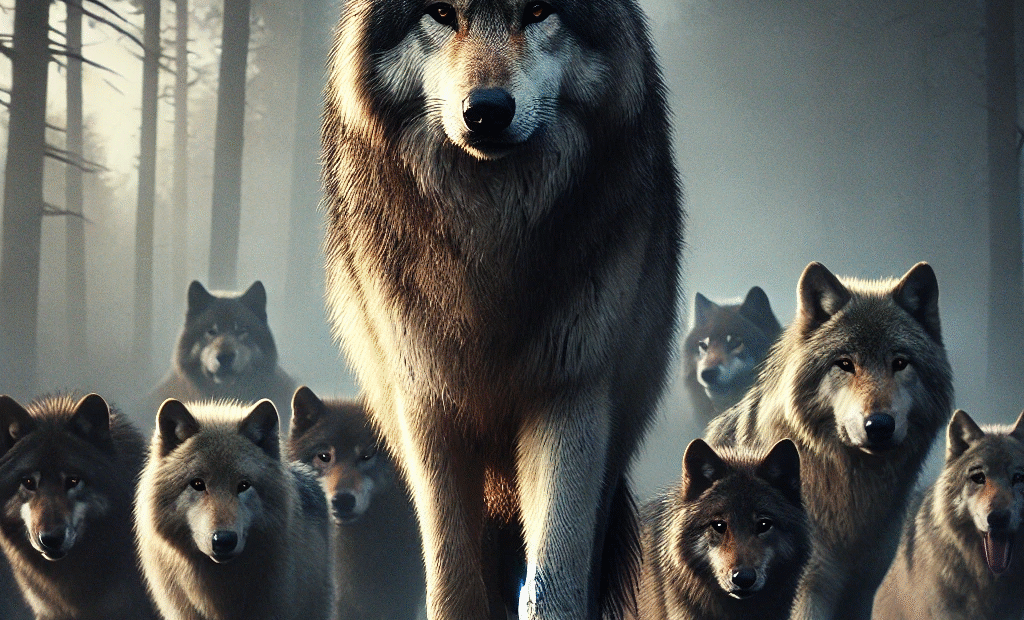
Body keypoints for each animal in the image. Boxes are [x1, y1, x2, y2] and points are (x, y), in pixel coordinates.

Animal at [320, 1, 682, 619]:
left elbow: (555, 576)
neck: (489, 239)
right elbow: (453, 578)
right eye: (442, 13)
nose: (485, 111)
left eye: (537, 12)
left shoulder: (569, 395)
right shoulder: (427, 406)